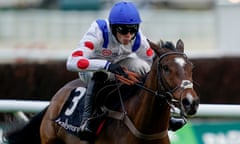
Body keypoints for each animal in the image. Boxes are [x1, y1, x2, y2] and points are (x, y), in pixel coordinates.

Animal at [4, 39, 199, 144]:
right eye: (166, 68)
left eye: (191, 66)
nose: (191, 102)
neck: (145, 127)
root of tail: (53, 102)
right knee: (98, 74)